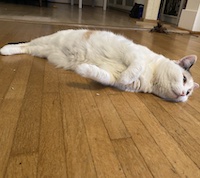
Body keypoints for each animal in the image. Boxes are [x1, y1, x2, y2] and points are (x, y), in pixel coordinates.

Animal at [0, 29, 199, 101]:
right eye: (183, 79)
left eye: (189, 92)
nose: (183, 94)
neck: (152, 77)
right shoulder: (133, 53)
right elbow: (136, 66)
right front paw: (128, 74)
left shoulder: (113, 80)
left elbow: (103, 77)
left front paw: (84, 69)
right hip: (45, 41)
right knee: (26, 43)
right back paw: (5, 49)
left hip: (41, 51)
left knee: (27, 48)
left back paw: (8, 50)